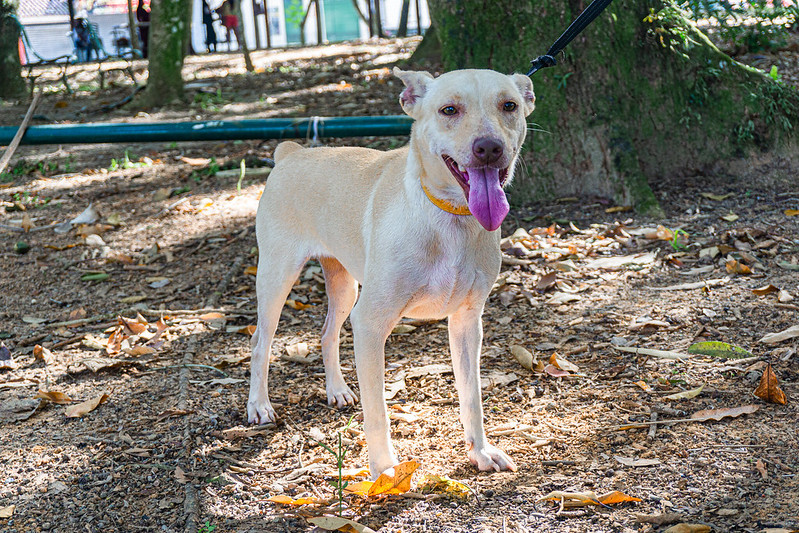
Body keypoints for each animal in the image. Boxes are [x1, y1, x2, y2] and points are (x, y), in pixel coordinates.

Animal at [248, 66, 536, 478]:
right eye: (449, 110)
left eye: (509, 105)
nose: (489, 148)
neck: (449, 217)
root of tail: (291, 153)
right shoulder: (370, 323)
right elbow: (378, 413)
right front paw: (385, 472)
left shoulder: (467, 322)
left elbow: (472, 396)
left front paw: (480, 451)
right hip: (277, 277)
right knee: (261, 341)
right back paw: (259, 405)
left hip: (345, 286)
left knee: (327, 332)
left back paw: (337, 389)